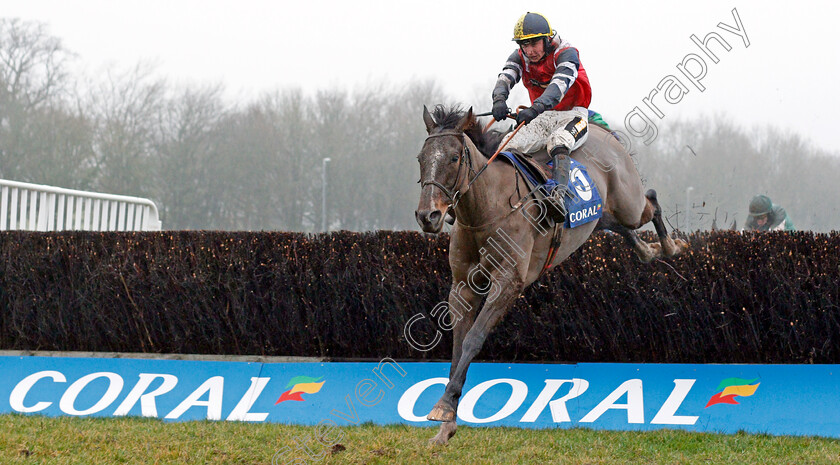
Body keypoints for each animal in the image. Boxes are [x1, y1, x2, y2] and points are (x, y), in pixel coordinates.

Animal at [416, 103, 688, 444]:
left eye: (454, 158)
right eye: (421, 159)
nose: (428, 216)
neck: (488, 208)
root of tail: (601, 129)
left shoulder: (508, 284)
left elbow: (473, 340)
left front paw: (443, 408)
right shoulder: (463, 286)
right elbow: (457, 344)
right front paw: (446, 422)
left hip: (629, 202)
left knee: (649, 200)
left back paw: (671, 246)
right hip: (601, 217)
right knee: (621, 228)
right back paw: (649, 251)